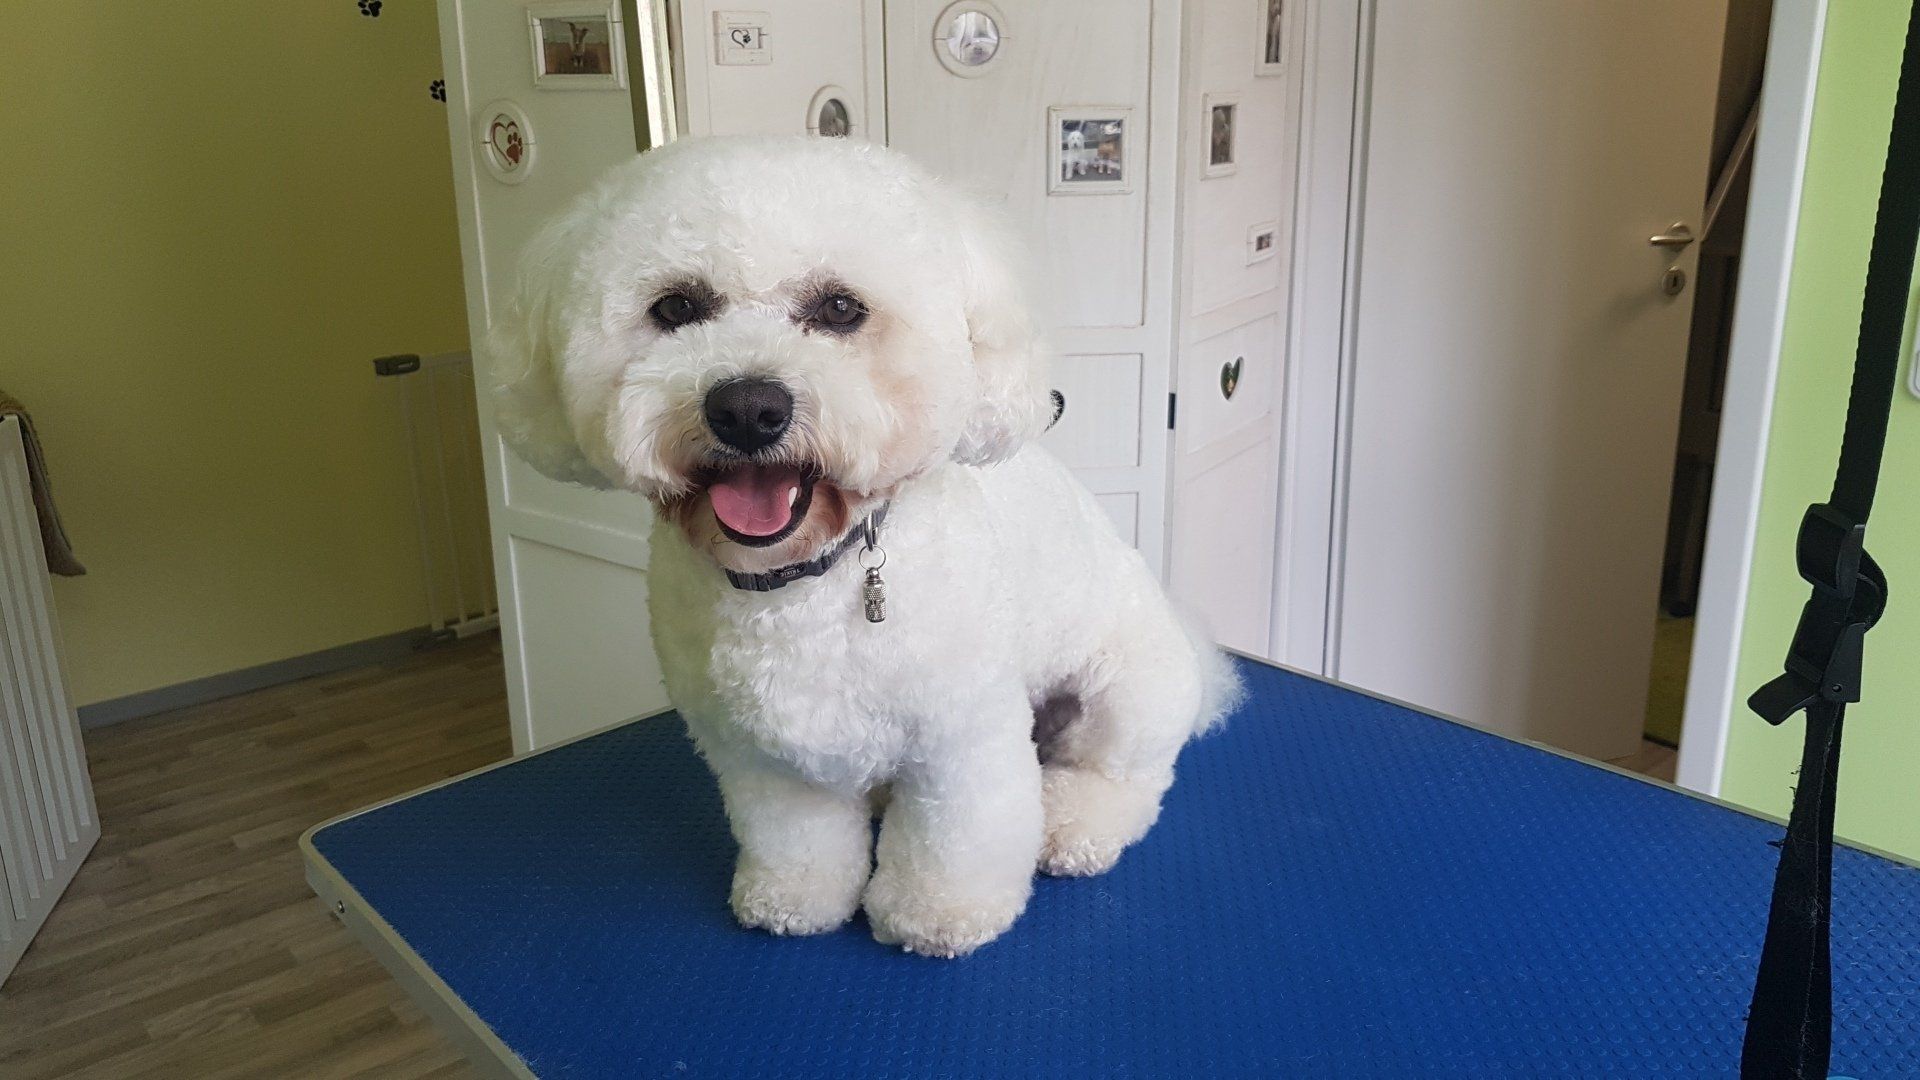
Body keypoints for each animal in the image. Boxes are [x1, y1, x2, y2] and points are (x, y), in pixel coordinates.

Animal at [490, 135, 1240, 957]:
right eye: (677, 307)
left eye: (841, 308)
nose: (747, 408)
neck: (800, 581)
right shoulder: (758, 753)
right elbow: (796, 836)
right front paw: (796, 898)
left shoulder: (961, 735)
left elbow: (957, 838)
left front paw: (939, 914)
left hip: (1126, 690)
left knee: (1126, 778)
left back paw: (1074, 823)